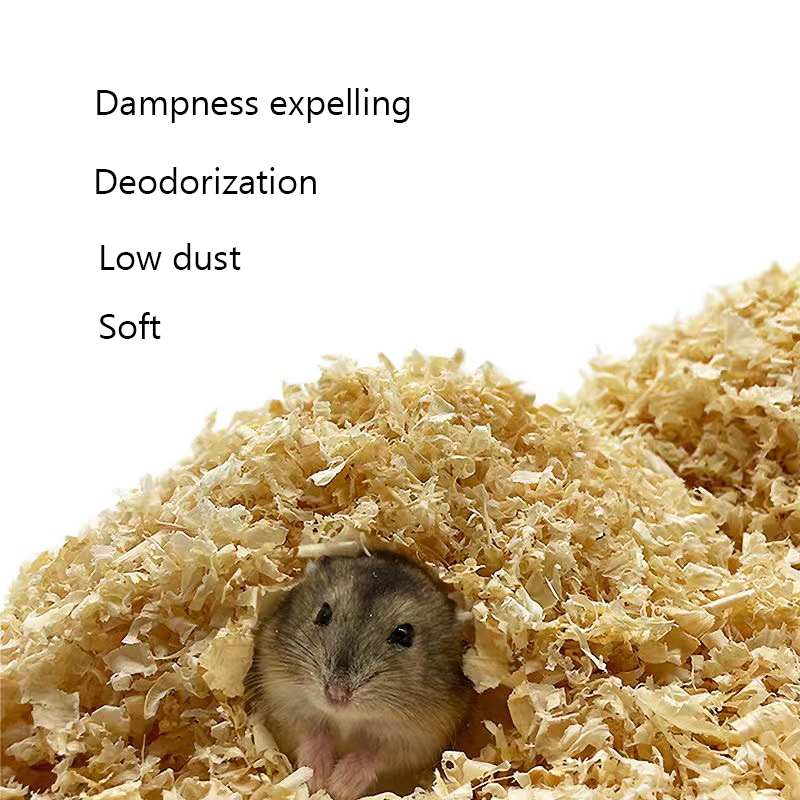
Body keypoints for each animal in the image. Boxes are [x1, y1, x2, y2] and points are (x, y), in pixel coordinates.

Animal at [250, 551, 471, 800]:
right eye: (323, 613)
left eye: (403, 634)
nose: (336, 695)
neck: (347, 720)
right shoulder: (285, 703)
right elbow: (311, 734)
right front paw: (317, 778)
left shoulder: (418, 741)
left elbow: (374, 754)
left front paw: (339, 787)